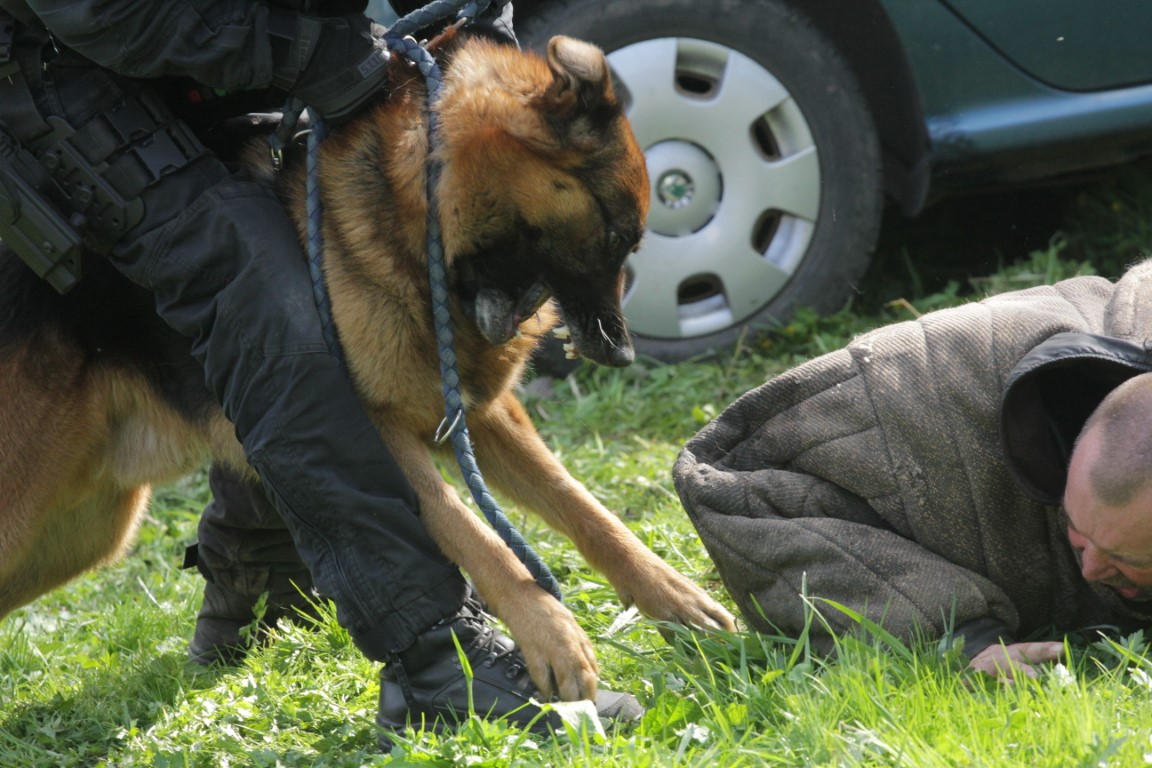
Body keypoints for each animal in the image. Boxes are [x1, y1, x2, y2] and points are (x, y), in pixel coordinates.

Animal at [0, 31, 737, 704]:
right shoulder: (378, 428)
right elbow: (475, 535)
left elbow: (583, 507)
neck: (411, 213)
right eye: (617, 237)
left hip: (83, 533)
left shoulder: (477, 416)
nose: (622, 355)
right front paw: (550, 635)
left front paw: (672, 598)